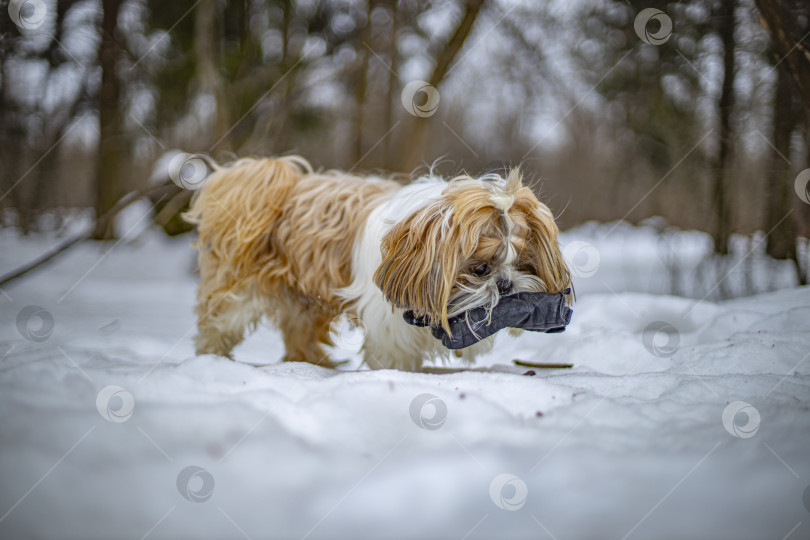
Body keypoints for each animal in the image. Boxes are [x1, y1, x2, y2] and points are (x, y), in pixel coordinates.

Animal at [186, 156, 572, 372]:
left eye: (523, 264)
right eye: (480, 269)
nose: (505, 285)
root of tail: (282, 182)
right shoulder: (388, 323)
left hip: (305, 300)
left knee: (298, 332)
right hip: (238, 293)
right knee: (219, 325)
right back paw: (213, 359)